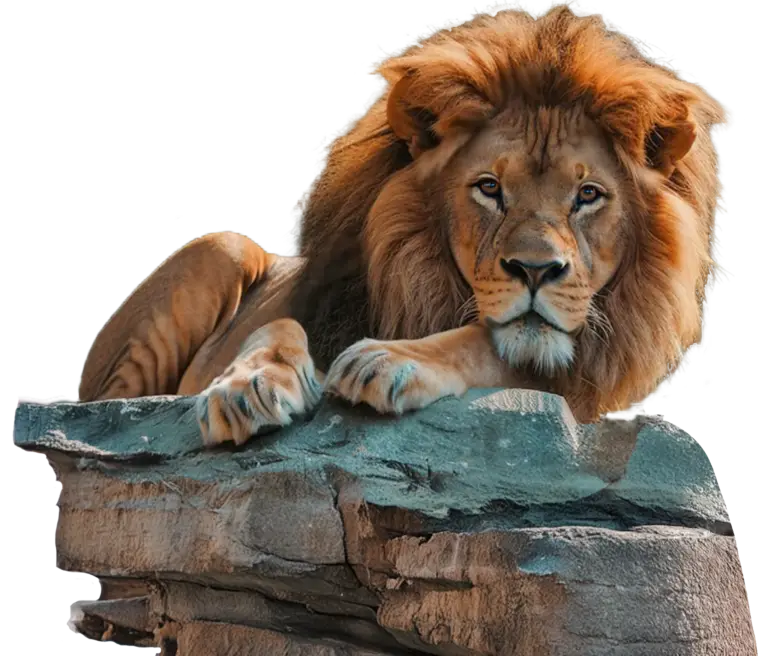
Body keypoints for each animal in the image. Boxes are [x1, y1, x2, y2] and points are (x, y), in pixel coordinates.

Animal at [78, 4, 733, 446]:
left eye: (588, 195)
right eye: (489, 188)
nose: (536, 270)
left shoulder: (584, 382)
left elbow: (486, 344)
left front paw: (391, 360)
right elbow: (278, 325)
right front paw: (247, 388)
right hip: (219, 247)